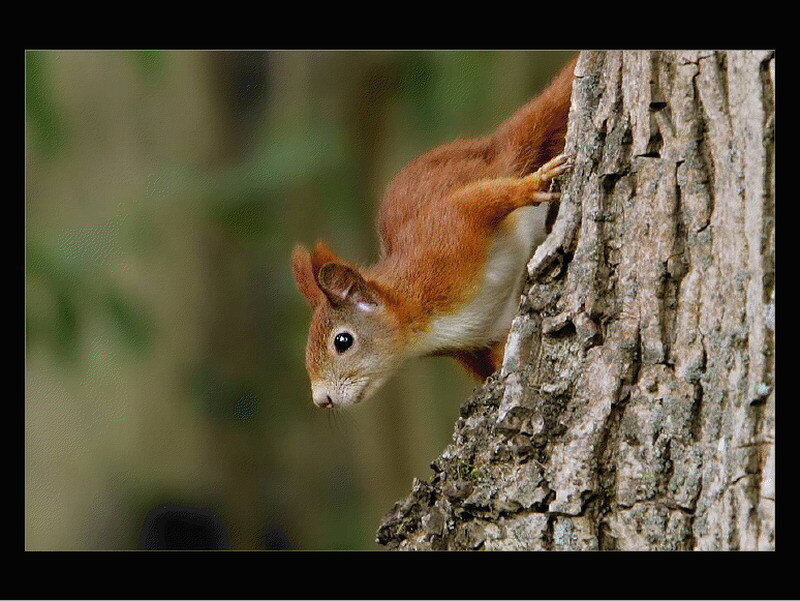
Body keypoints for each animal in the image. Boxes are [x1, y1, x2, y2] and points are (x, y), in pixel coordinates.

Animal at [292, 55, 577, 409]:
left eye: (342, 341)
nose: (322, 400)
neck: (421, 324)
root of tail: (490, 149)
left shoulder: (445, 237)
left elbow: (477, 201)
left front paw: (532, 184)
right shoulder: (481, 338)